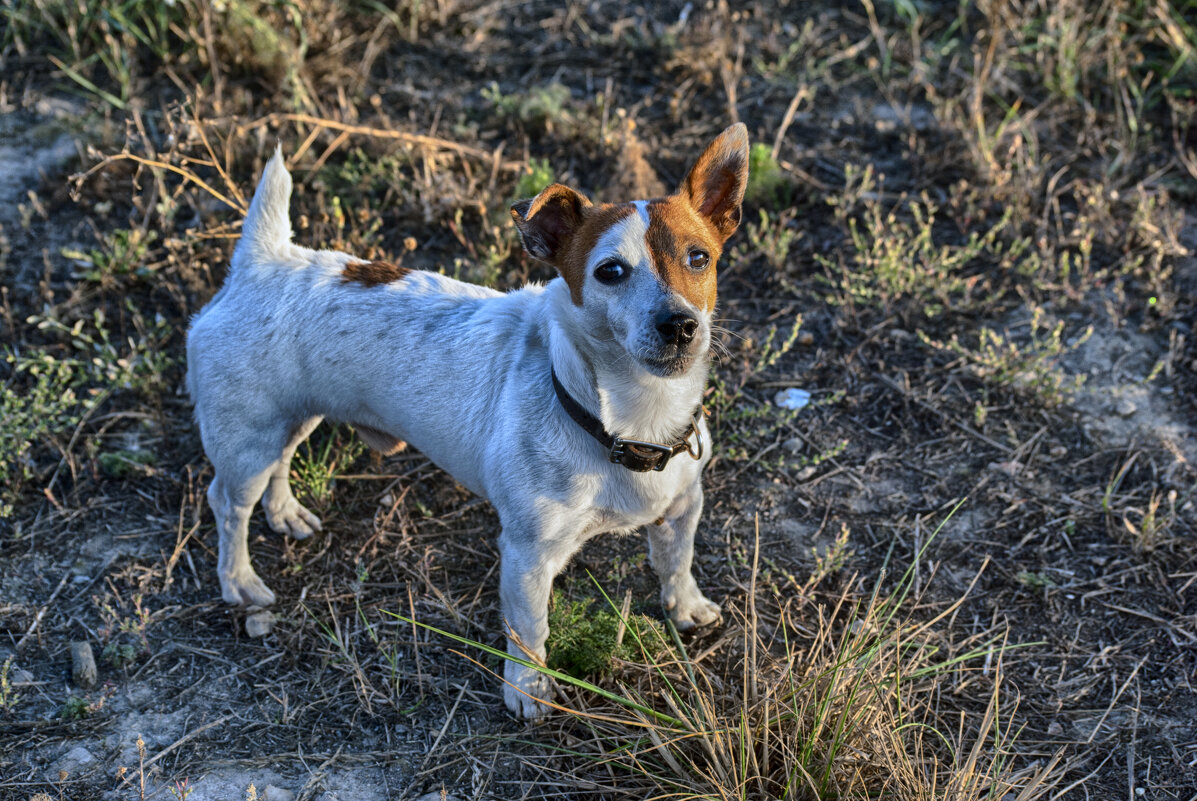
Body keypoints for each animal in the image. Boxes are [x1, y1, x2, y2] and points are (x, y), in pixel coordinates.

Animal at [186, 123, 746, 713]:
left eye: (699, 258)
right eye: (610, 271)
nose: (679, 325)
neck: (630, 418)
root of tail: (263, 260)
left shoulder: (683, 505)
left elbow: (677, 560)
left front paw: (686, 607)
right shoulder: (528, 554)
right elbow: (530, 628)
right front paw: (528, 689)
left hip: (293, 418)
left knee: (282, 459)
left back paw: (285, 512)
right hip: (246, 442)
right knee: (228, 504)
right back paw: (239, 581)